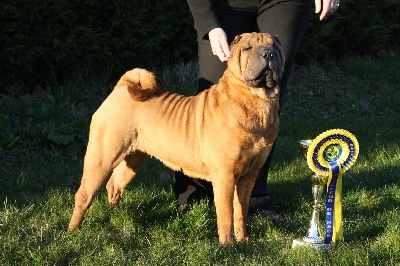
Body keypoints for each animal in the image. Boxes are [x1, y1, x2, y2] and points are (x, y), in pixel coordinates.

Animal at [68, 31, 284, 245]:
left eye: (275, 47)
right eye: (248, 48)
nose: (268, 54)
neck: (255, 100)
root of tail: (121, 87)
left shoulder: (249, 175)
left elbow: (241, 211)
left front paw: (243, 239)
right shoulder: (225, 176)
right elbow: (225, 215)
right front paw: (227, 245)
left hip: (134, 159)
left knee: (114, 185)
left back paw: (117, 215)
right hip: (102, 158)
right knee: (84, 195)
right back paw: (73, 231)